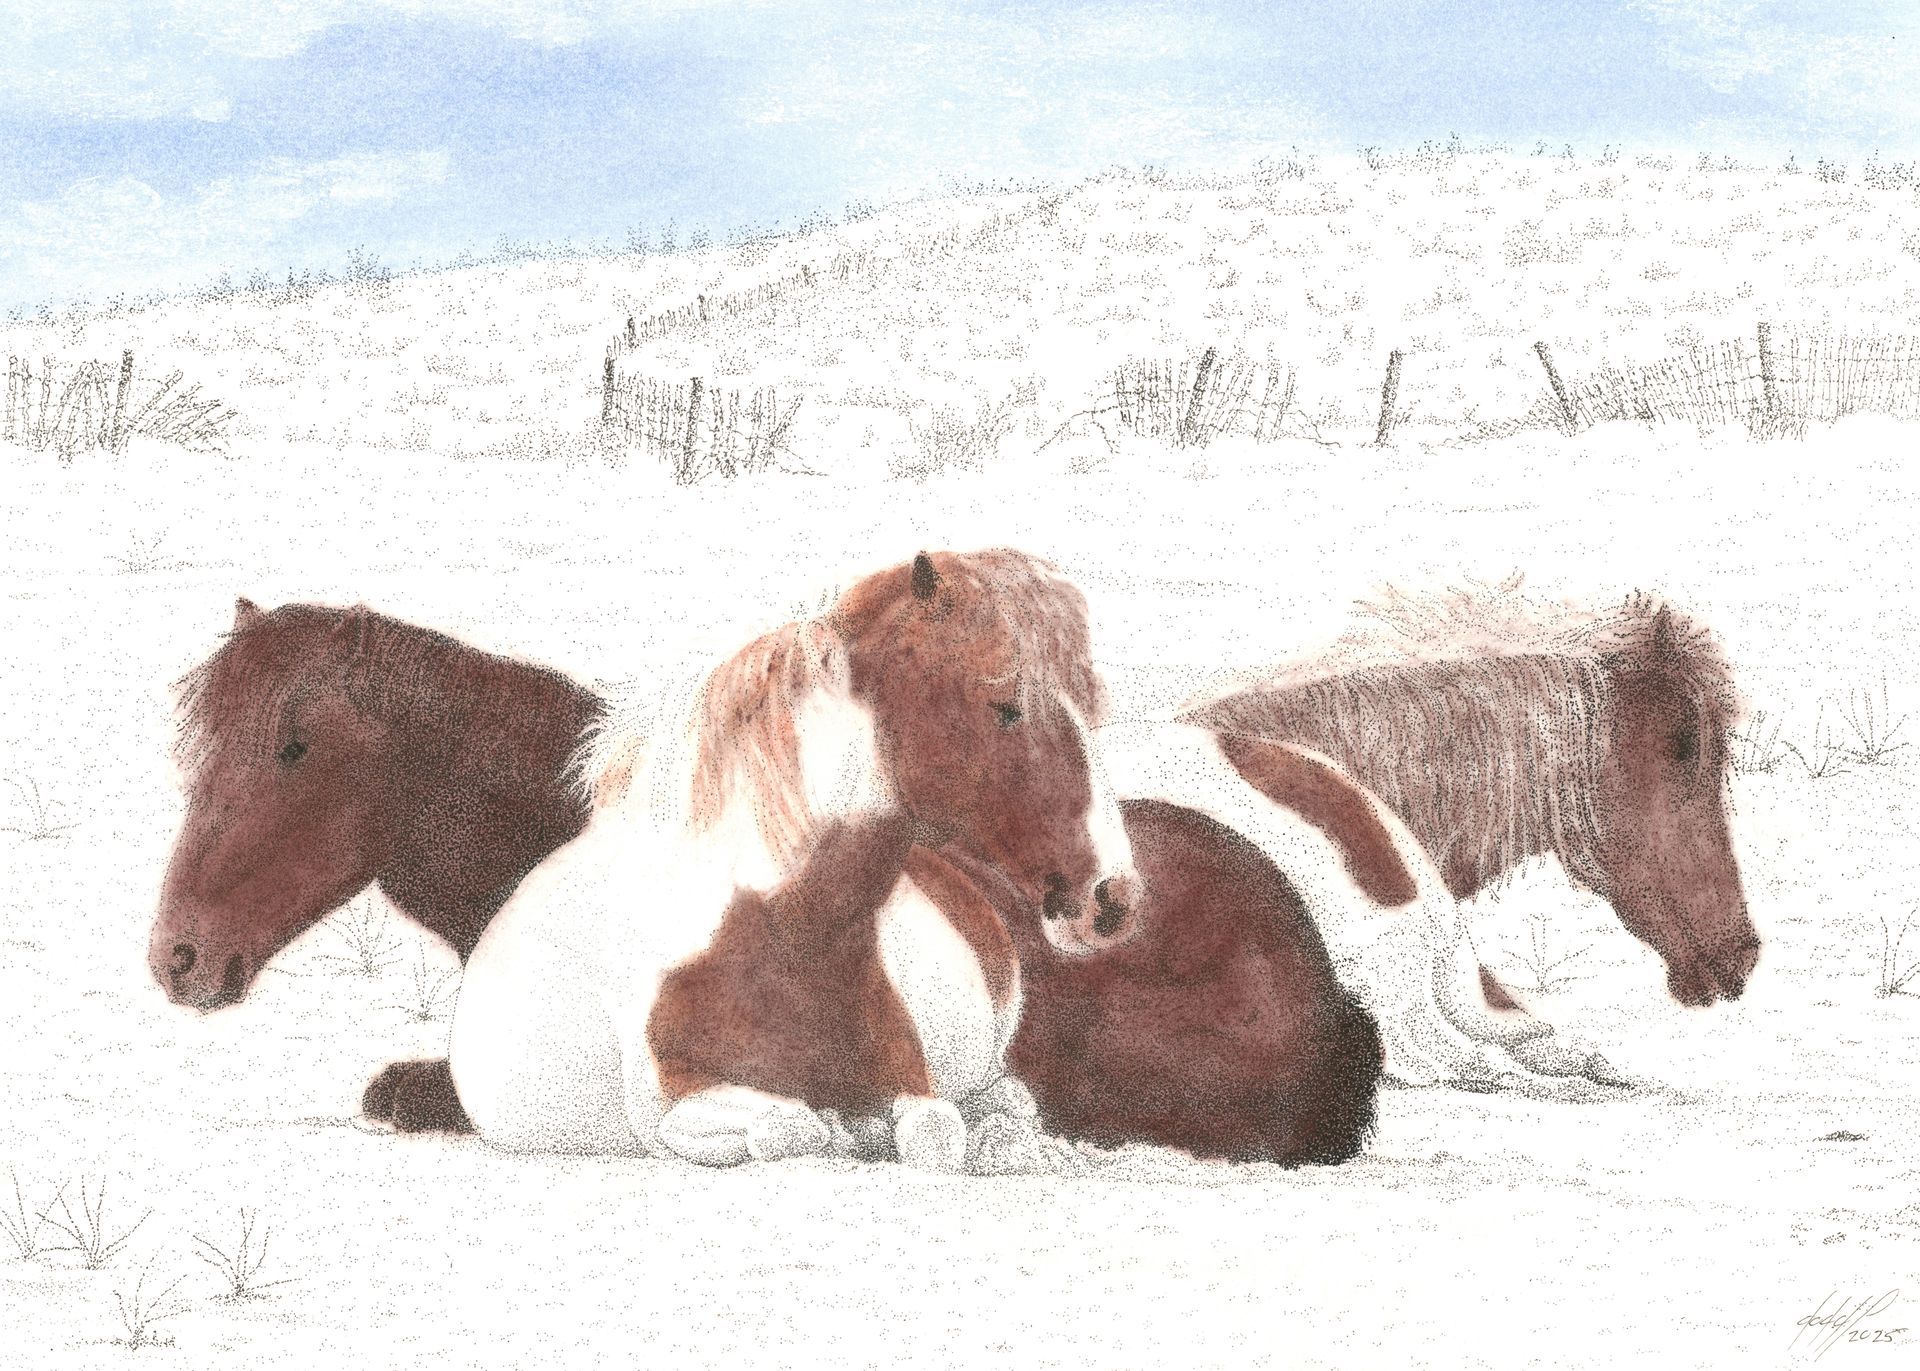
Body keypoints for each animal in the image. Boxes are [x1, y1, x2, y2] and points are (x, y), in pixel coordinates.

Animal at [446, 550, 1142, 1169]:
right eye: (1004, 706)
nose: (1114, 898)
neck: (782, 934)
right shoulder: (671, 1108)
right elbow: (794, 1128)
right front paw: (842, 1132)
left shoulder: (912, 1083)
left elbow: (936, 1133)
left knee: (1006, 1098)